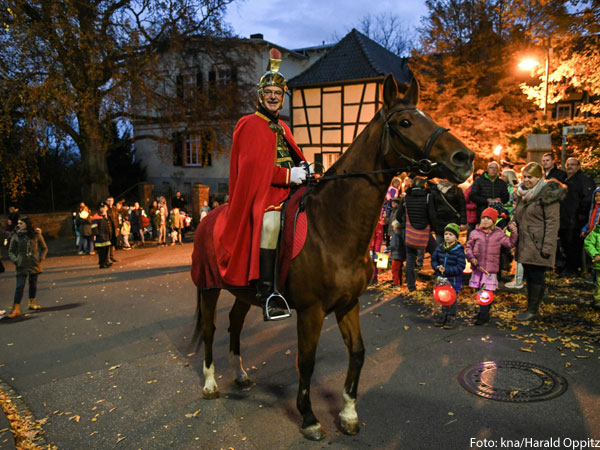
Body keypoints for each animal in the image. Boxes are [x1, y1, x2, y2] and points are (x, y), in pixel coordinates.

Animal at [192, 74, 474, 440]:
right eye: (405, 122)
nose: (464, 158)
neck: (333, 227)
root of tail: (208, 216)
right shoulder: (311, 312)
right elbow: (306, 361)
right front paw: (309, 418)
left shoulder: (348, 304)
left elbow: (358, 353)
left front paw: (349, 413)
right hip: (208, 288)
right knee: (211, 328)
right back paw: (211, 383)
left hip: (243, 292)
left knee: (234, 323)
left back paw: (239, 373)